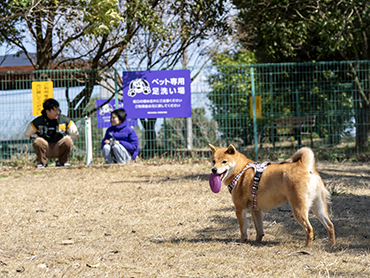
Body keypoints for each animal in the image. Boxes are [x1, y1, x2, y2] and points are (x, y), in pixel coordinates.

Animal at [208, 144, 336, 247]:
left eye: (224, 161)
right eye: (213, 161)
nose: (214, 170)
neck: (241, 171)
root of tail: (305, 165)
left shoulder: (240, 209)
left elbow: (243, 230)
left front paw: (242, 241)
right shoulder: (256, 210)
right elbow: (259, 229)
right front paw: (257, 241)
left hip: (299, 208)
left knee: (309, 229)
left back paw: (307, 247)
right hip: (318, 207)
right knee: (330, 225)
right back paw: (331, 245)